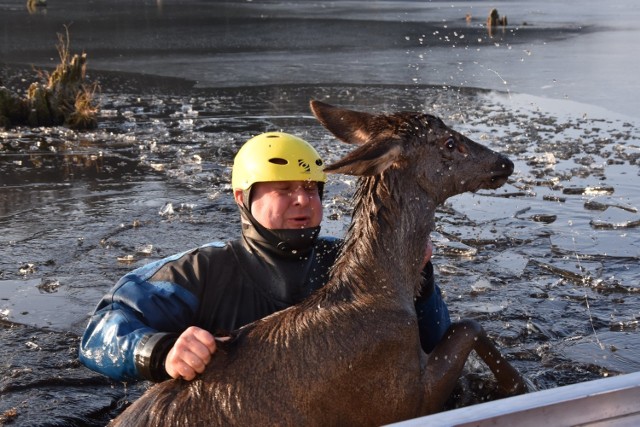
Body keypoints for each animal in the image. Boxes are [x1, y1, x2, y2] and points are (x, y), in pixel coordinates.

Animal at [110, 101, 528, 427]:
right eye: (449, 142)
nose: (505, 162)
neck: (382, 290)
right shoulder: (403, 394)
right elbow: (468, 326)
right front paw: (518, 385)